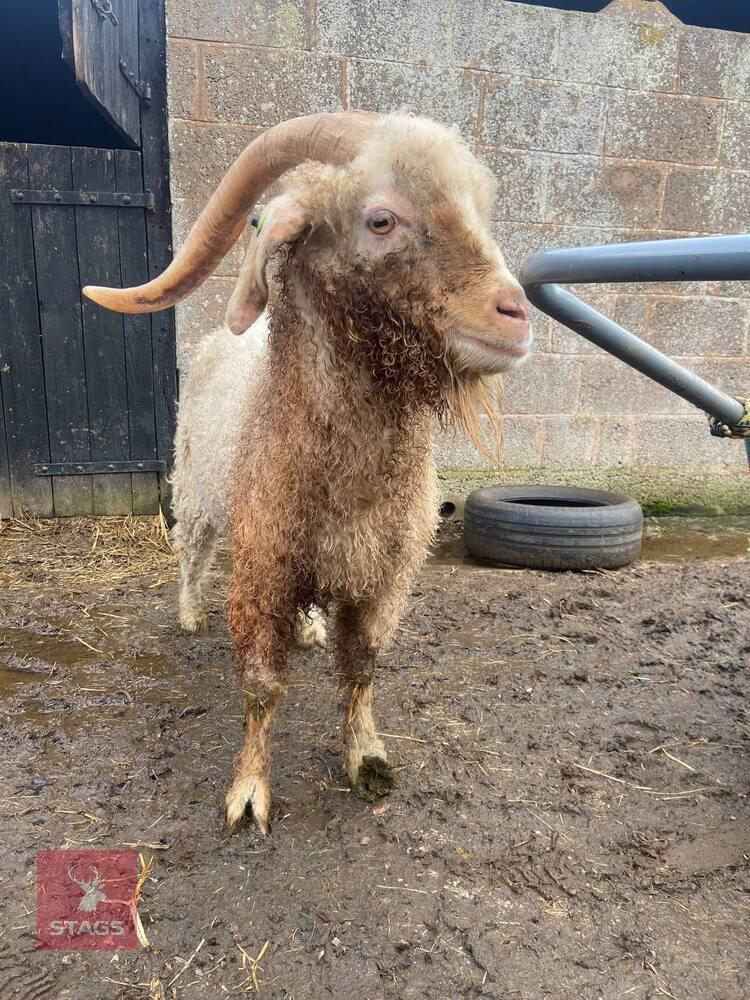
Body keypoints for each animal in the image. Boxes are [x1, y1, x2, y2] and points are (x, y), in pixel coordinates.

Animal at [83, 111, 532, 834]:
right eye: (381, 219)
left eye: (478, 207)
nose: (516, 318)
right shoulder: (262, 572)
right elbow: (262, 688)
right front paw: (248, 793)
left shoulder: (383, 577)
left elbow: (362, 670)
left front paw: (367, 758)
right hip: (198, 490)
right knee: (191, 551)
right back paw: (188, 612)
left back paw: (312, 626)